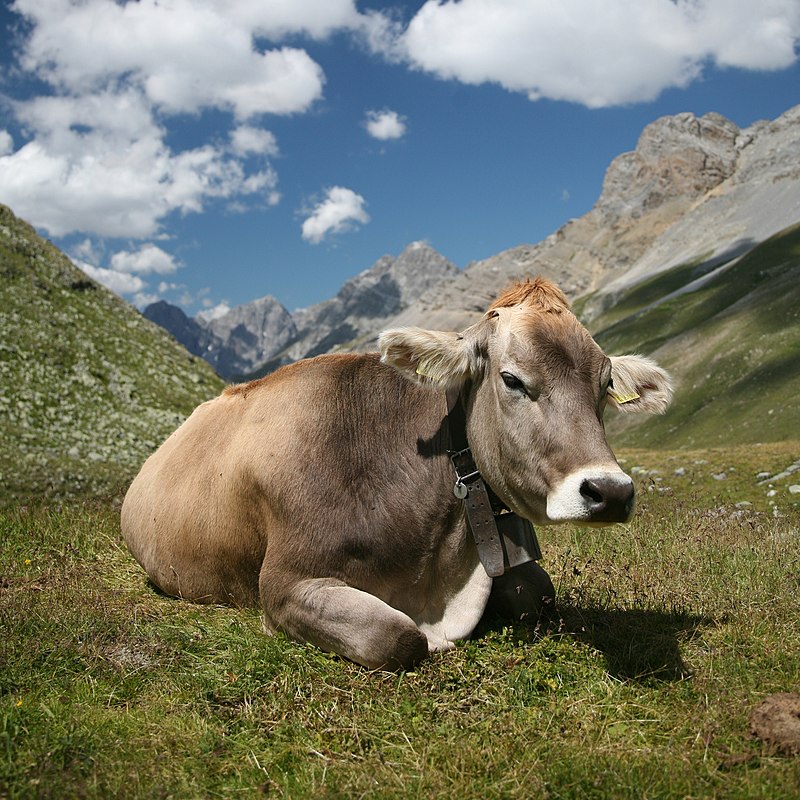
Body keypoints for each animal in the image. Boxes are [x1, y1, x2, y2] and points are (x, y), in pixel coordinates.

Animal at [122, 278, 672, 672]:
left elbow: (539, 593)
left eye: (605, 384)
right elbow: (398, 637)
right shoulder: (284, 583)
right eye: (512, 379)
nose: (610, 492)